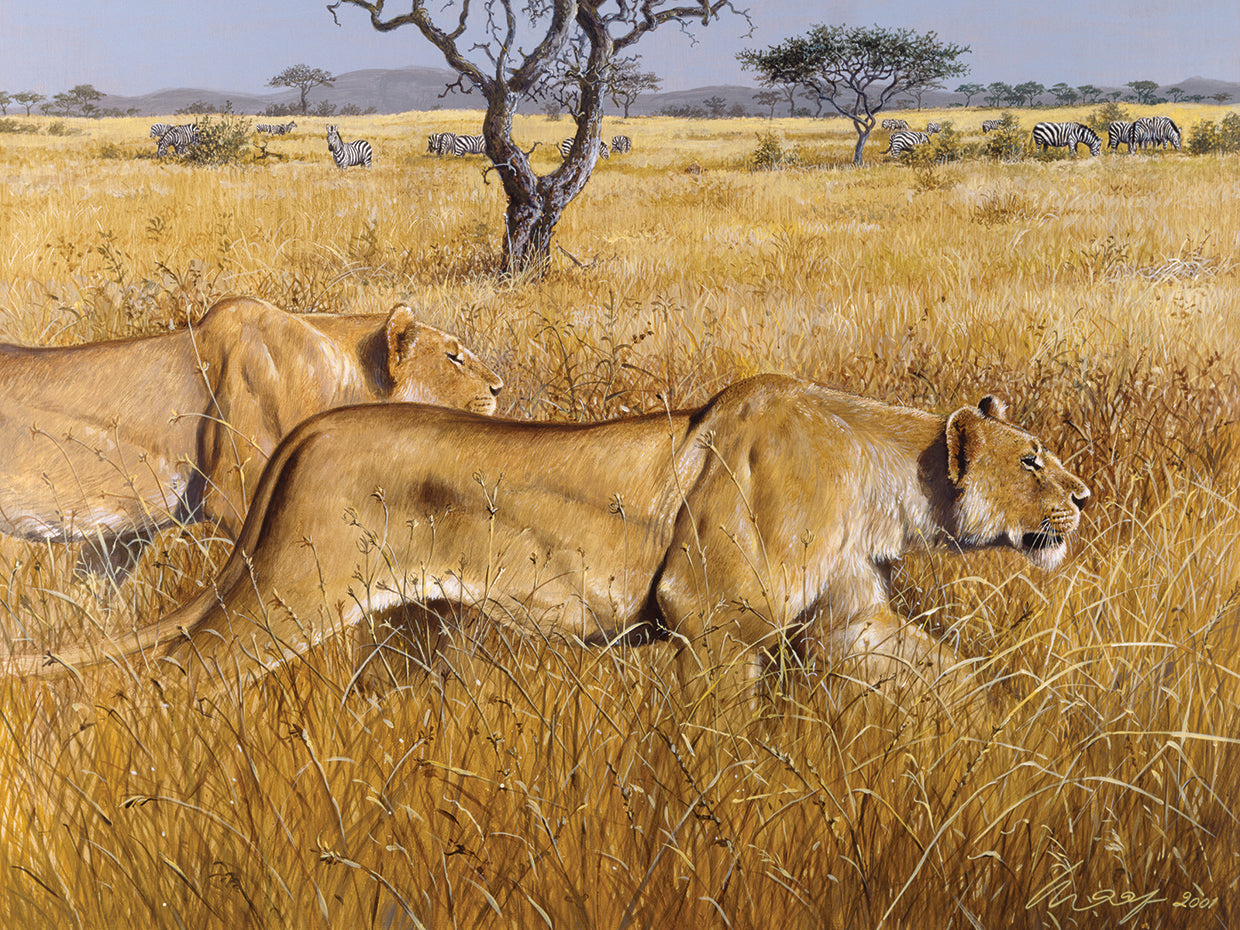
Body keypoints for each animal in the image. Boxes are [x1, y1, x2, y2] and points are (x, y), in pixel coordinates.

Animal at [11, 375, 1091, 693]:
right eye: (1033, 460)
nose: (1084, 499)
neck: (883, 480)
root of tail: (313, 429)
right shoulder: (711, 619)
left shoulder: (849, 616)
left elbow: (951, 678)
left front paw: (1018, 738)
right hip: (292, 589)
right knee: (181, 672)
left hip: (410, 625)